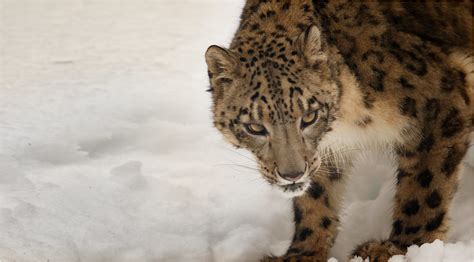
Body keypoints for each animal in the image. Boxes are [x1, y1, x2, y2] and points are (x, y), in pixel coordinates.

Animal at [203, 1, 470, 260]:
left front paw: (401, 248)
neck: (348, 117)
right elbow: (316, 195)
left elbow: (425, 187)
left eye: (309, 116)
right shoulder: (324, 152)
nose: (292, 175)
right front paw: (303, 252)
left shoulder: (441, 101)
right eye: (255, 127)